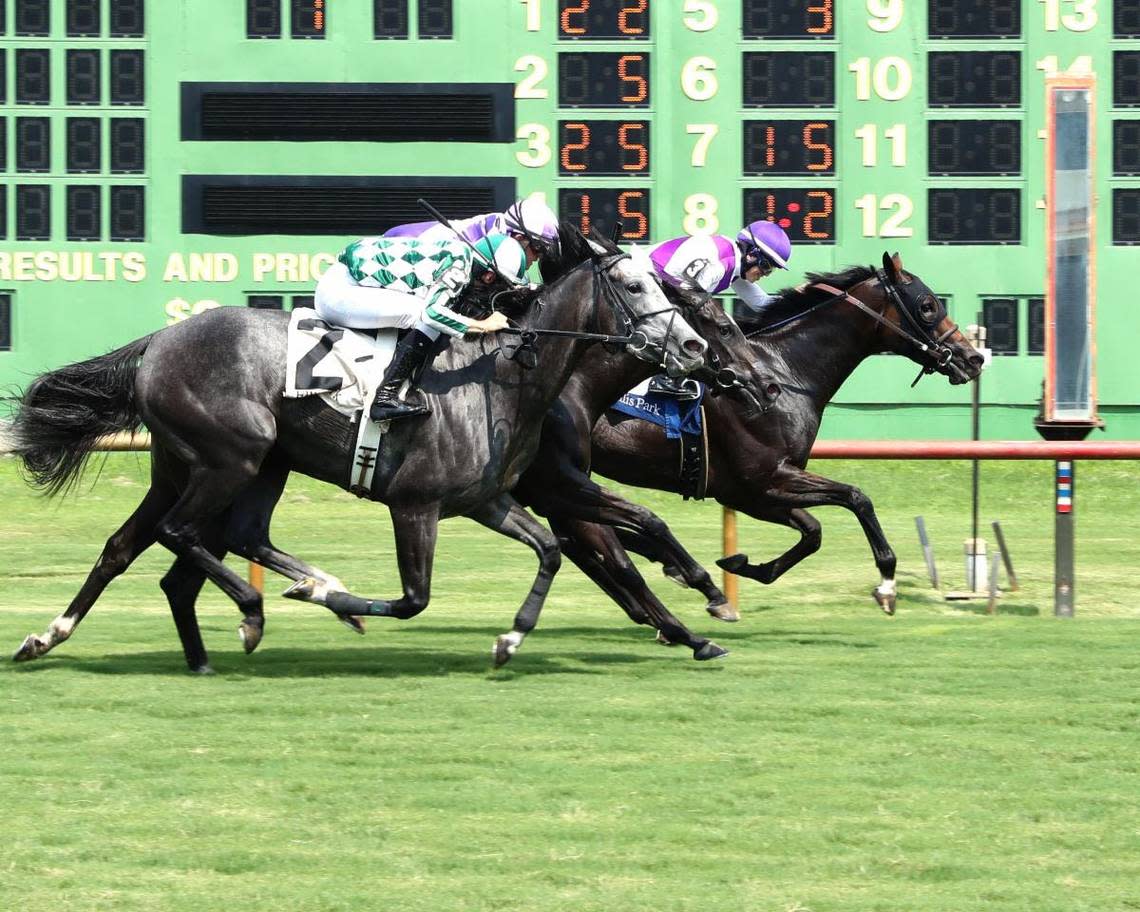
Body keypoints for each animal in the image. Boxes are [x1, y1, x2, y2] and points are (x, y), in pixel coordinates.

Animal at [8, 238, 706, 674]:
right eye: (633, 285)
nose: (695, 347)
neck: (501, 382)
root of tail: (159, 339)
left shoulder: (487, 502)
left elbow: (552, 551)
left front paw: (510, 640)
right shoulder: (415, 505)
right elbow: (415, 598)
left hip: (222, 467)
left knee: (154, 545)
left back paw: (54, 636)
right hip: (230, 458)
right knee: (182, 535)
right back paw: (260, 610)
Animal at [531, 253, 980, 624]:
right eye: (927, 306)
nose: (973, 358)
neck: (785, 373)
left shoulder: (750, 492)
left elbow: (813, 532)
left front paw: (742, 565)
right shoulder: (764, 478)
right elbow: (857, 498)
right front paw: (887, 584)